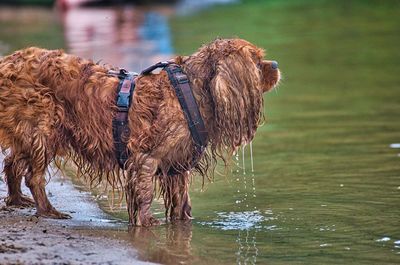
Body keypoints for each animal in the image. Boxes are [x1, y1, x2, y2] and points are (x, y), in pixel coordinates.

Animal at [0, 38, 280, 226]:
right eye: (257, 62)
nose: (276, 63)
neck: (190, 91)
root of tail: (7, 62)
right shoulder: (146, 157)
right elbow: (144, 193)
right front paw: (146, 222)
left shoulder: (177, 165)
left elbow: (181, 199)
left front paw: (183, 222)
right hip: (42, 127)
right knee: (33, 176)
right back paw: (48, 210)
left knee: (13, 162)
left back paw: (16, 200)